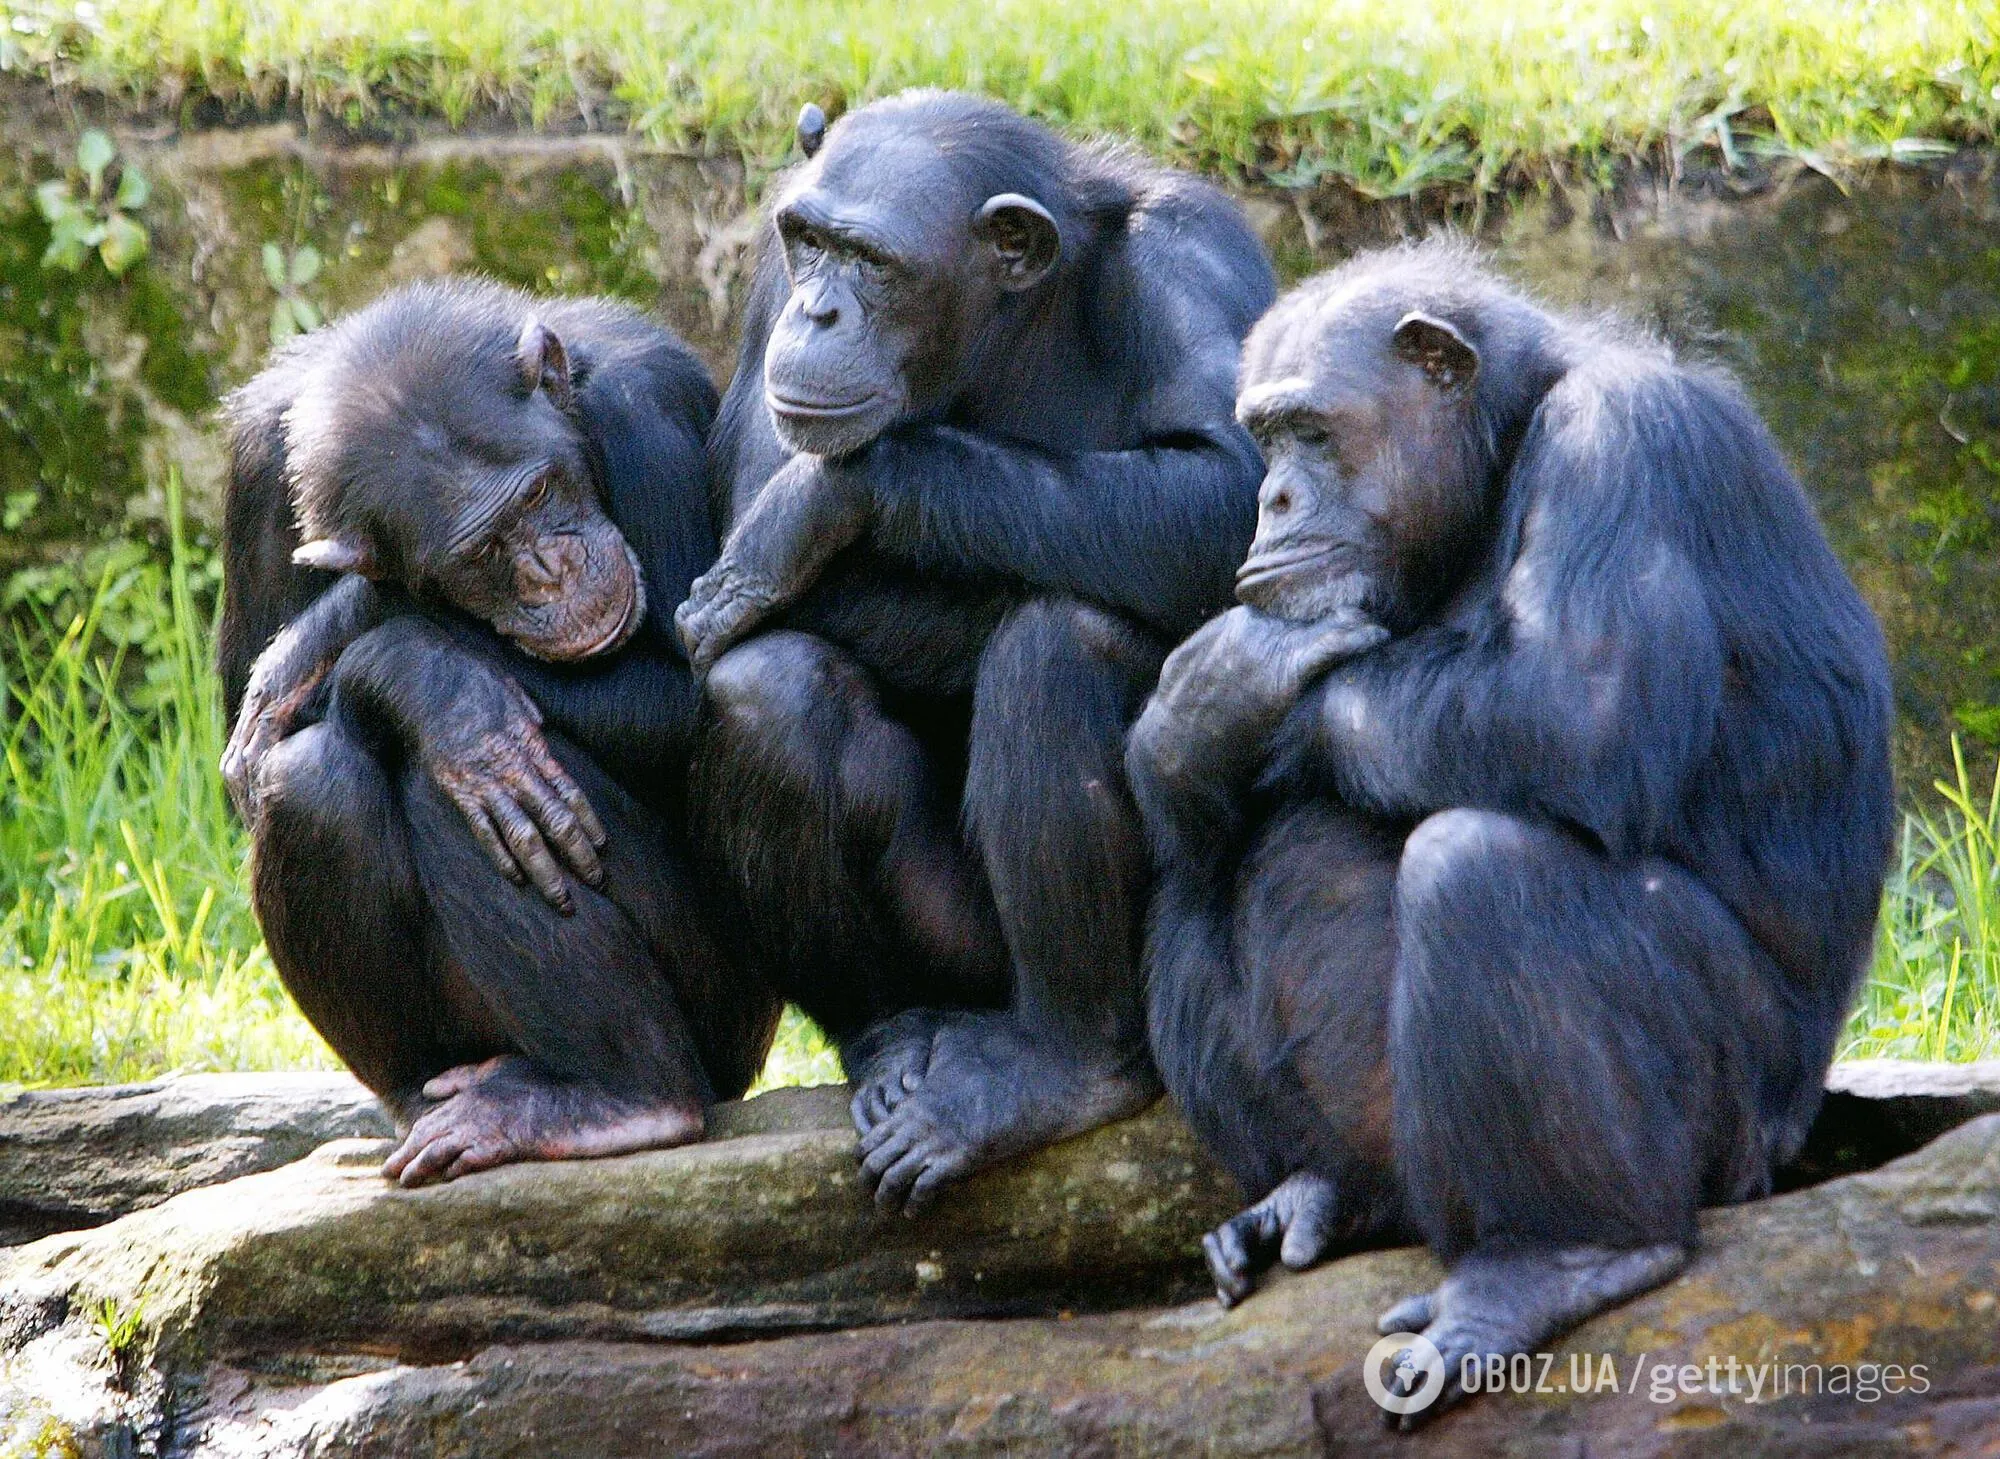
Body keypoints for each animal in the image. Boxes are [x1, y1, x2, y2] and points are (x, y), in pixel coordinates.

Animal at [219, 277, 776, 1191]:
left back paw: (625, 1098)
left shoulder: (648, 413)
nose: (550, 570)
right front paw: (439, 688)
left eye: (540, 493)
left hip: (729, 1009)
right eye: (482, 549)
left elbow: (696, 676)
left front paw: (381, 644)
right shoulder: (253, 468)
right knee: (310, 781)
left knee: (459, 794)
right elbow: (244, 753)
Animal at [680, 87, 1272, 1207]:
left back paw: (1055, 1066)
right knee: (768, 688)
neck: (1007, 327)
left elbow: (1243, 495)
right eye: (810, 244)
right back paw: (888, 1037)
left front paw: (834, 497)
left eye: (871, 263)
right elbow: (740, 517)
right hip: (950, 952)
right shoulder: (764, 288)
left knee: (1060, 640)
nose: (817, 313)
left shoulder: (1190, 263)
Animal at [1136, 241, 1896, 1423]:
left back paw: (1551, 1259)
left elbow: (1574, 707)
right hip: (1401, 1163)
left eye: (1310, 430)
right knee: (1192, 873)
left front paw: (1230, 682)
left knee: (1483, 871)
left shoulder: (1620, 443)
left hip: (1735, 1121)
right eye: (1263, 435)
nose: (1271, 495)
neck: (1498, 458)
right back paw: (1314, 1193)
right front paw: (1183, 729)